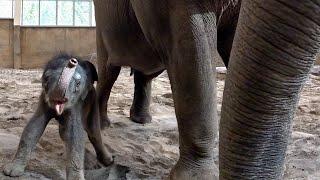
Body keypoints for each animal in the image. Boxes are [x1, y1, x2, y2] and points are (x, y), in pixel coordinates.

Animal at [93, 0, 320, 179]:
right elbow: (190, 46)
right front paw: (197, 177)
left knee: (145, 73)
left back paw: (142, 120)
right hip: (101, 28)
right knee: (108, 73)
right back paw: (104, 124)